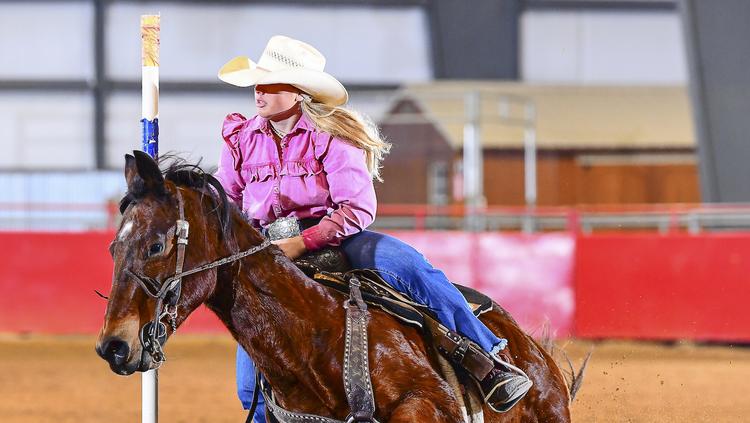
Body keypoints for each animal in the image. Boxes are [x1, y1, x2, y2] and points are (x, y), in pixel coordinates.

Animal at [95, 152, 588, 420]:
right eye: (113, 249)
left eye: (157, 244)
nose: (113, 346)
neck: (316, 336)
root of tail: (534, 353)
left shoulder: (427, 404)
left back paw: (504, 378)